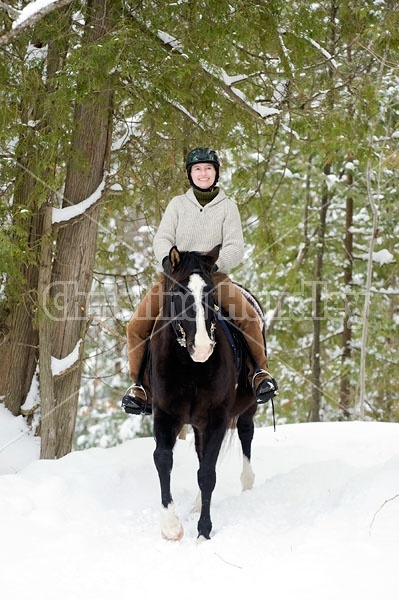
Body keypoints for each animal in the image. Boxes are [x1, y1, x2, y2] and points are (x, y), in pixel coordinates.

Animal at [151, 246, 260, 540]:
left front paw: (203, 531)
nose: (201, 347)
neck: (190, 366)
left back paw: (247, 484)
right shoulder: (165, 414)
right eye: (179, 292)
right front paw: (170, 526)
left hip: (247, 408)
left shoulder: (217, 419)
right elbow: (163, 459)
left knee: (246, 433)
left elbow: (208, 474)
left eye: (210, 292)